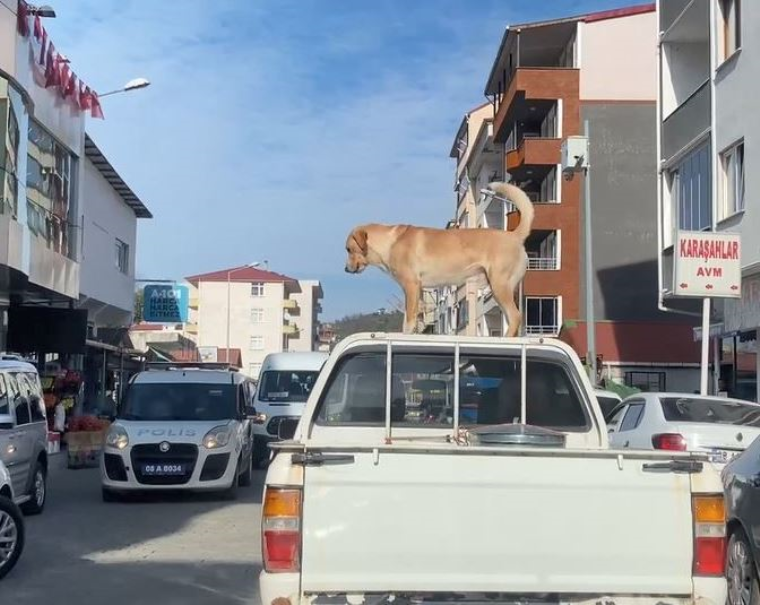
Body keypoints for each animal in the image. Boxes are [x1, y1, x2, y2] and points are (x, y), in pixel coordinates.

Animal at [344, 182, 536, 338]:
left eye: (348, 249)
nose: (346, 269)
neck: (390, 242)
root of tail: (514, 236)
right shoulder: (413, 290)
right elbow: (407, 317)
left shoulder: (411, 285)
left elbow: (409, 319)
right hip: (498, 289)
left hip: (500, 284)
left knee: (516, 316)